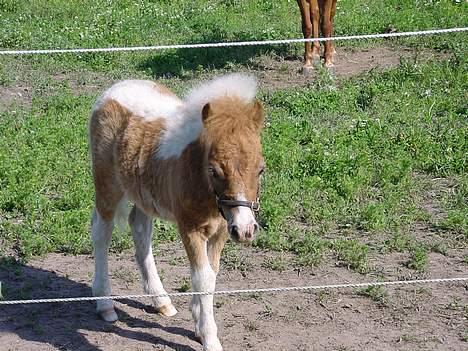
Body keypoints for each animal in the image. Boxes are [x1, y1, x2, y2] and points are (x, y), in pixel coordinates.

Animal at [89, 73, 266, 350]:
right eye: (214, 170)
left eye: (261, 169)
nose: (246, 230)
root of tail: (113, 90)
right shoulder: (190, 228)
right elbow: (203, 278)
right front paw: (210, 338)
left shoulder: (221, 231)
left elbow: (211, 274)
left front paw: (199, 325)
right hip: (108, 186)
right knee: (101, 233)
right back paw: (105, 304)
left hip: (144, 194)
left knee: (139, 229)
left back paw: (161, 301)